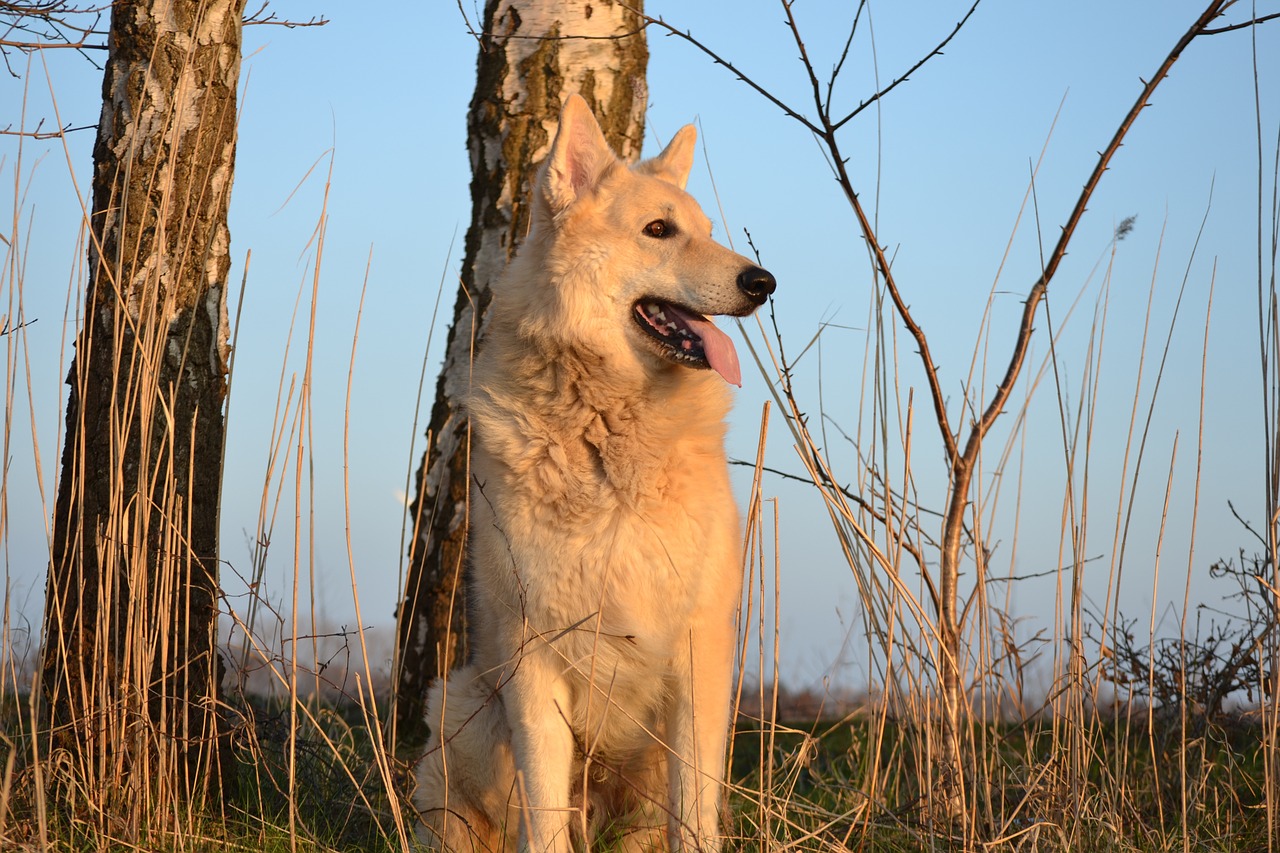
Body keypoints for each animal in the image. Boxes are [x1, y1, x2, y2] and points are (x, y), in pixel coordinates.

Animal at [414, 94, 773, 850]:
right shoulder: (534, 653)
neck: (609, 429)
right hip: (462, 706)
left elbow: (696, 805)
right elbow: (546, 812)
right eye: (658, 231)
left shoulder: (702, 651)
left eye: (707, 232)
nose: (764, 282)